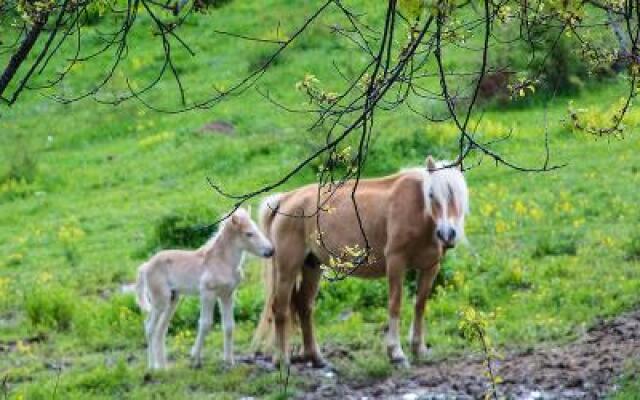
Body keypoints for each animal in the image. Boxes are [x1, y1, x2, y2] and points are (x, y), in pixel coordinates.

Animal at [137, 208, 272, 370]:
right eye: (249, 234)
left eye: (257, 229)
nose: (270, 251)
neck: (222, 262)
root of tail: (146, 266)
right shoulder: (207, 293)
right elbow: (205, 324)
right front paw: (195, 358)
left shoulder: (227, 295)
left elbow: (229, 326)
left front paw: (229, 361)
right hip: (159, 301)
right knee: (150, 327)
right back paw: (152, 367)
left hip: (172, 299)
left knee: (161, 329)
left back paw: (163, 367)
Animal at [252, 156, 468, 368]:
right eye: (431, 194)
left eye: (458, 194)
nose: (447, 233)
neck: (418, 210)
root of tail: (285, 199)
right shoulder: (396, 263)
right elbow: (395, 304)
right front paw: (396, 353)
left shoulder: (431, 267)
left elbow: (420, 305)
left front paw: (419, 349)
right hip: (287, 268)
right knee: (280, 309)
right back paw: (282, 359)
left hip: (312, 266)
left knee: (304, 306)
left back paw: (315, 357)